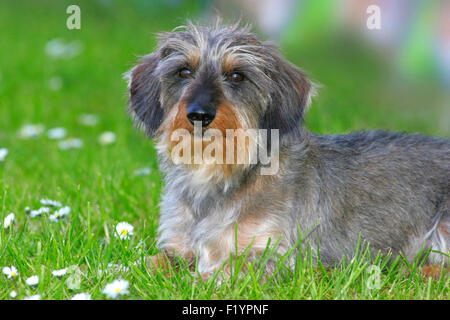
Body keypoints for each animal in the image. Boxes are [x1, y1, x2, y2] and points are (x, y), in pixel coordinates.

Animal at [125, 22, 446, 278]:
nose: (199, 114)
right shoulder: (179, 246)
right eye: (184, 71)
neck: (217, 175)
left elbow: (224, 270)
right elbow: (151, 262)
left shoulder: (274, 254)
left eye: (237, 76)